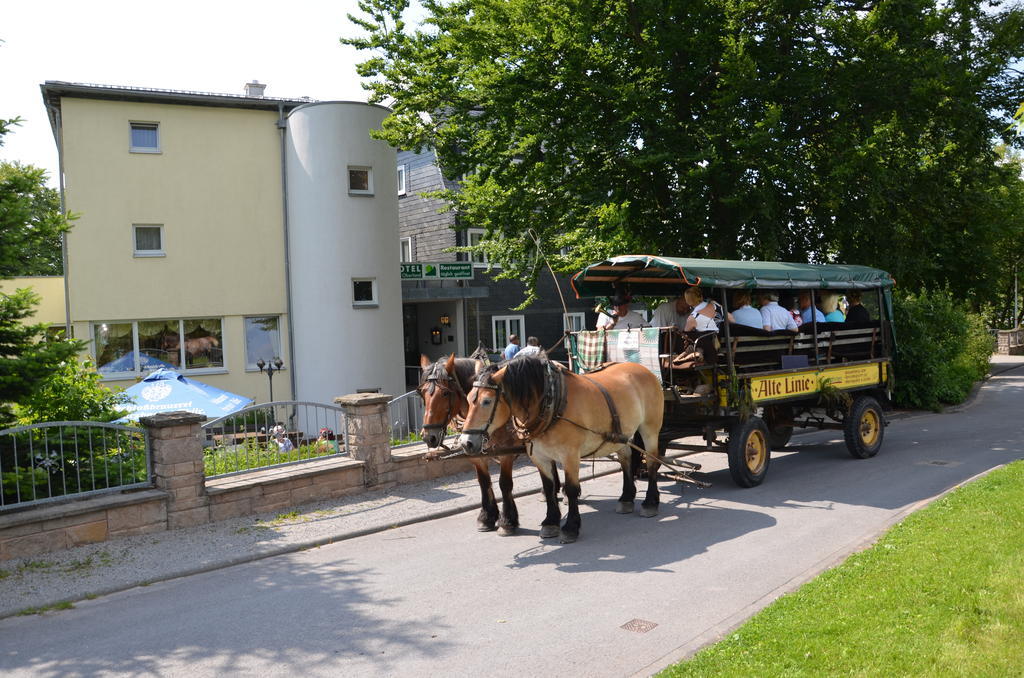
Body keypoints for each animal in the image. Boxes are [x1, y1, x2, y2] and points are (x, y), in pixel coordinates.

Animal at [417, 356, 532, 536]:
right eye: (422, 393)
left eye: (445, 393)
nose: (429, 437)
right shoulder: (474, 453)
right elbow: (484, 482)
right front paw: (487, 517)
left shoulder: (506, 452)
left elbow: (505, 483)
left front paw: (507, 521)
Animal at [456, 358, 663, 544]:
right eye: (468, 399)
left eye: (486, 401)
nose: (466, 443)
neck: (552, 404)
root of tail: (644, 369)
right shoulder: (539, 456)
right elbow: (548, 488)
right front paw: (550, 522)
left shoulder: (570, 455)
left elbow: (571, 489)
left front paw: (570, 527)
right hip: (621, 435)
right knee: (626, 458)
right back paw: (626, 498)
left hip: (650, 429)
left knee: (652, 462)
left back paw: (650, 502)